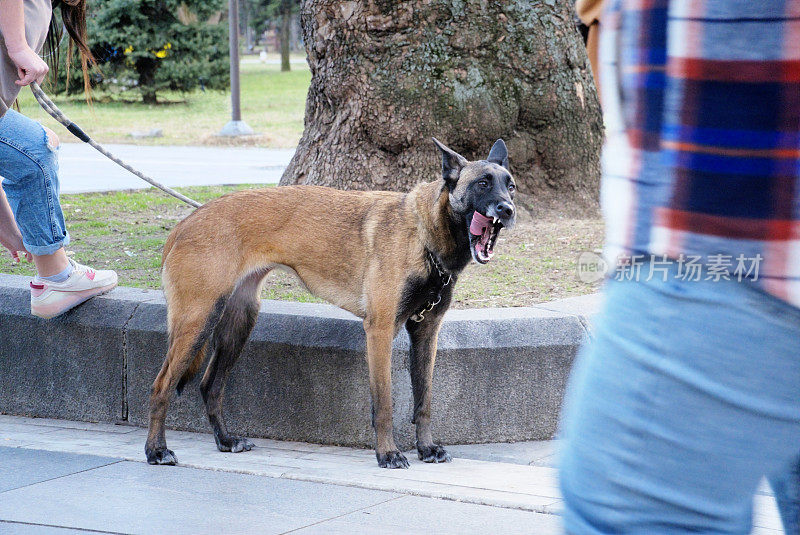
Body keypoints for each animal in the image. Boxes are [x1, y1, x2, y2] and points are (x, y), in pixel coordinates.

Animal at [146, 138, 516, 468]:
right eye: (483, 183)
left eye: (510, 186)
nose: (508, 210)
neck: (423, 233)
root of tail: (184, 224)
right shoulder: (380, 332)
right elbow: (384, 403)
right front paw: (388, 454)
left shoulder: (426, 334)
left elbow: (423, 401)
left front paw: (426, 448)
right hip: (198, 322)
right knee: (161, 386)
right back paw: (156, 451)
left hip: (238, 325)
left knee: (210, 385)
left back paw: (224, 441)